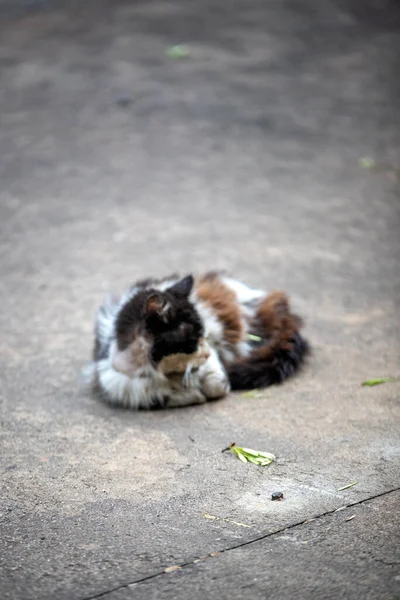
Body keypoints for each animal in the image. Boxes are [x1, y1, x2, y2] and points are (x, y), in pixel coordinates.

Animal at [85, 272, 310, 408]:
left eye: (204, 333)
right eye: (194, 336)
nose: (208, 352)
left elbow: (217, 384)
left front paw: (204, 388)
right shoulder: (121, 384)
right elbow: (164, 396)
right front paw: (189, 392)